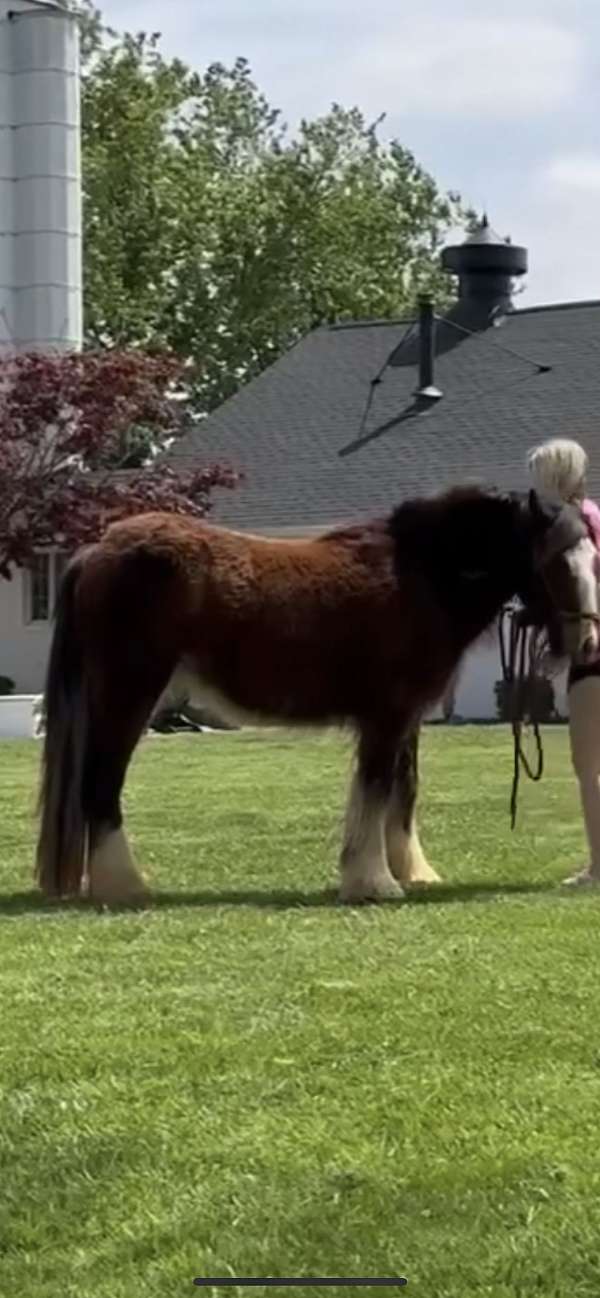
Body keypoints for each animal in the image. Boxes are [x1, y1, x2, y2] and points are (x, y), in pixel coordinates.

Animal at [35, 485, 597, 903]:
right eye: (556, 562)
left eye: (592, 558)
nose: (589, 642)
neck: (420, 577)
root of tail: (97, 551)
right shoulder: (386, 716)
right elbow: (374, 790)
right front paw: (373, 882)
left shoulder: (407, 718)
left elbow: (403, 790)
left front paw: (411, 872)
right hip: (130, 693)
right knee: (101, 783)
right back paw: (125, 886)